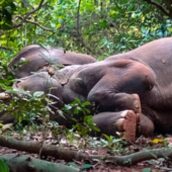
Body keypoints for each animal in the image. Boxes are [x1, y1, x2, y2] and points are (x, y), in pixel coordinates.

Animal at [10, 37, 172, 142]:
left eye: (23, 79)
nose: (14, 83)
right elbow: (148, 125)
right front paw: (128, 122)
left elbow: (142, 71)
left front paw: (135, 103)